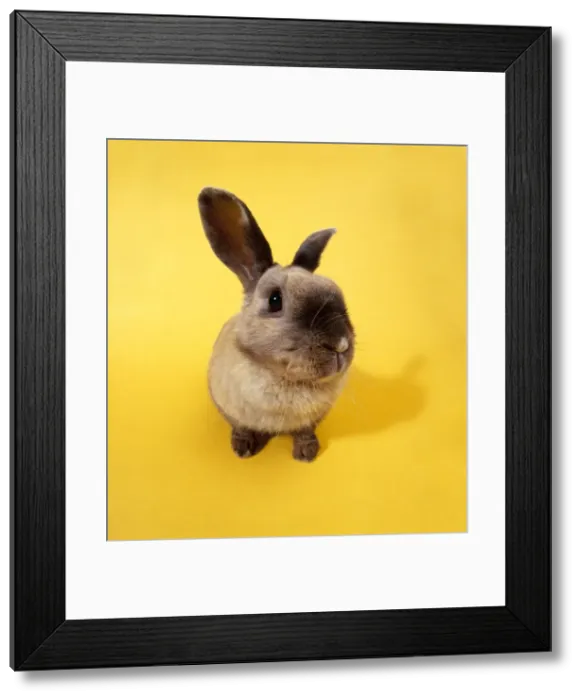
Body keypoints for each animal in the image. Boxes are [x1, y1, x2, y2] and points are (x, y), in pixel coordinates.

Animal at [197, 187, 355, 462]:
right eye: (274, 300)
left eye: (336, 291)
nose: (340, 344)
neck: (285, 377)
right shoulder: (233, 412)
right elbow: (241, 427)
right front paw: (243, 449)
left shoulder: (312, 420)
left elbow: (304, 432)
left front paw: (306, 454)